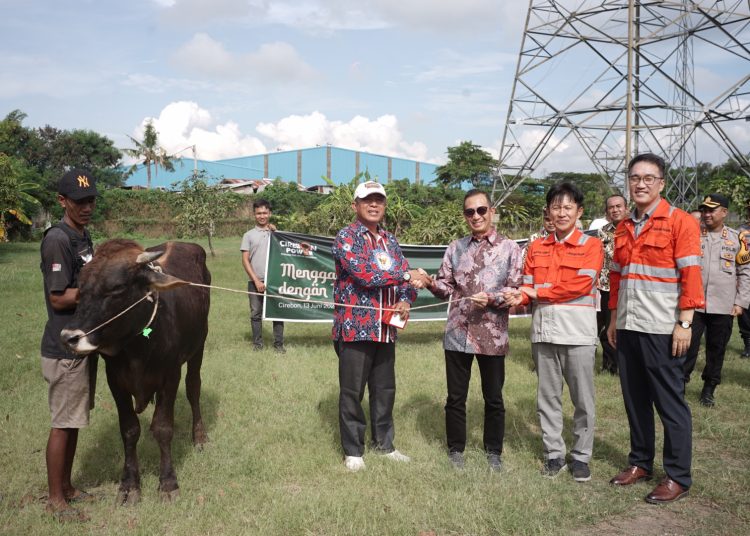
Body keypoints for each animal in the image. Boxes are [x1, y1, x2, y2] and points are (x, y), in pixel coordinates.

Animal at [59, 241, 209, 504]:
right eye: (80, 288)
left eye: (117, 288)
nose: (69, 338)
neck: (138, 348)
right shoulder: (116, 383)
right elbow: (129, 430)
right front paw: (129, 485)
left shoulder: (170, 377)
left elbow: (164, 428)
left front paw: (168, 483)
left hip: (199, 344)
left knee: (193, 388)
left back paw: (199, 436)